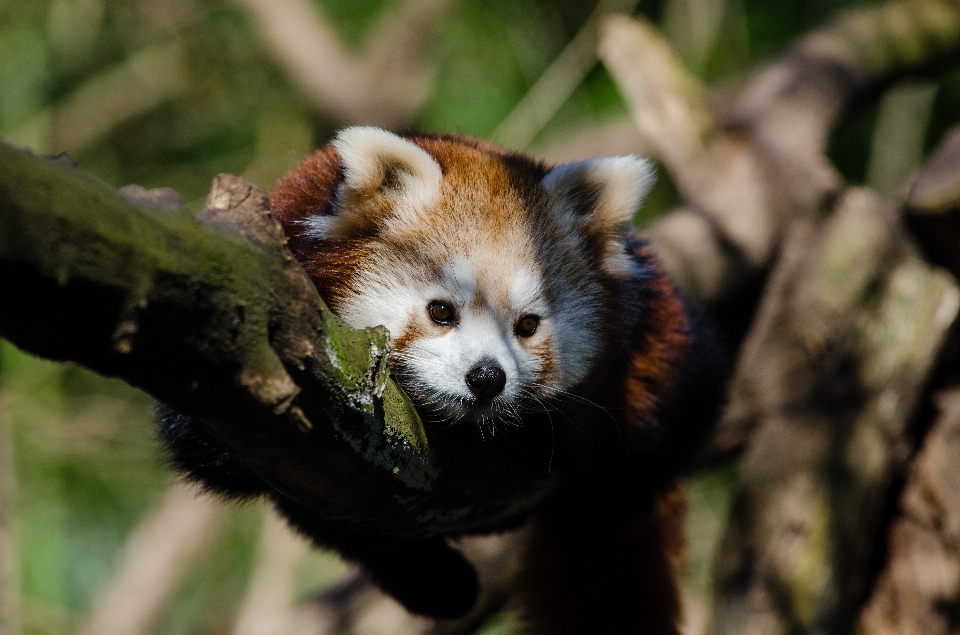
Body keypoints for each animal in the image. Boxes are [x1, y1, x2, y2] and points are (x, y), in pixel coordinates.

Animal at [159, 126, 728, 632]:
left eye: (527, 326)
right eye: (441, 311)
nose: (487, 378)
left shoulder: (649, 321)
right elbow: (208, 447)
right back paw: (434, 581)